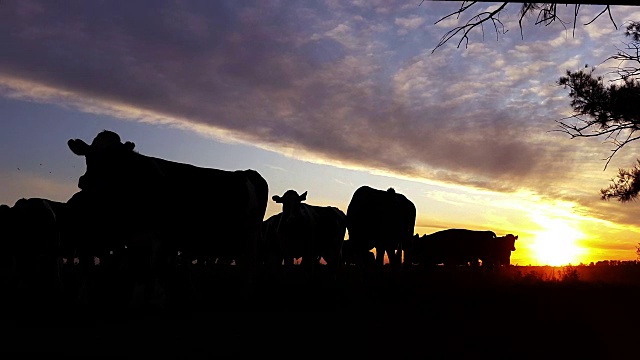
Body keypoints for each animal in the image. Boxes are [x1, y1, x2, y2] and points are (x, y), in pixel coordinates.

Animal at [69, 130, 268, 304]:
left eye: (115, 159)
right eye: (88, 155)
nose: (85, 181)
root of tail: (247, 172)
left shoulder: (159, 238)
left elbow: (154, 275)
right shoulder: (134, 239)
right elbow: (138, 275)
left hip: (250, 234)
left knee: (251, 265)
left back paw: (244, 296)